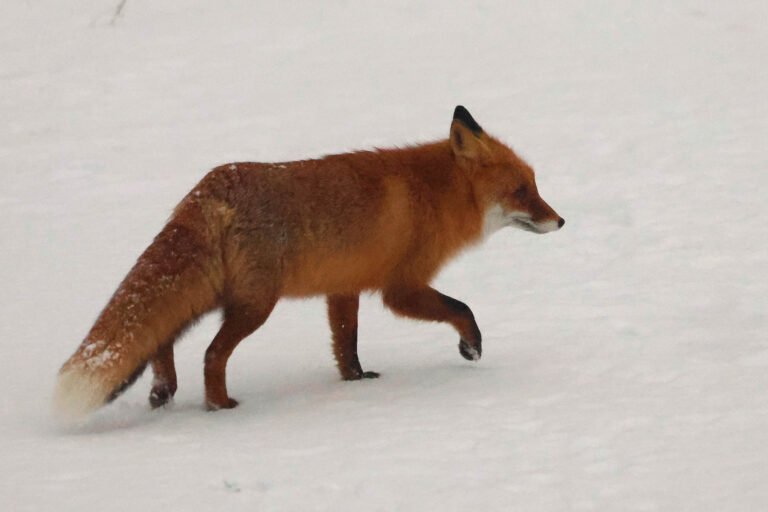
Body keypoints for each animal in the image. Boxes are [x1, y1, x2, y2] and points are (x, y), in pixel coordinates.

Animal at [53, 106, 564, 419]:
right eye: (522, 191)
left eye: (535, 185)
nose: (560, 220)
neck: (434, 194)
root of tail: (208, 189)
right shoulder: (401, 287)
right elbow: (462, 309)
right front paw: (471, 347)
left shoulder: (344, 288)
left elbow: (346, 345)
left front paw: (356, 382)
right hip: (255, 305)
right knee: (210, 353)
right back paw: (220, 406)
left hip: (216, 295)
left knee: (163, 341)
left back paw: (163, 392)